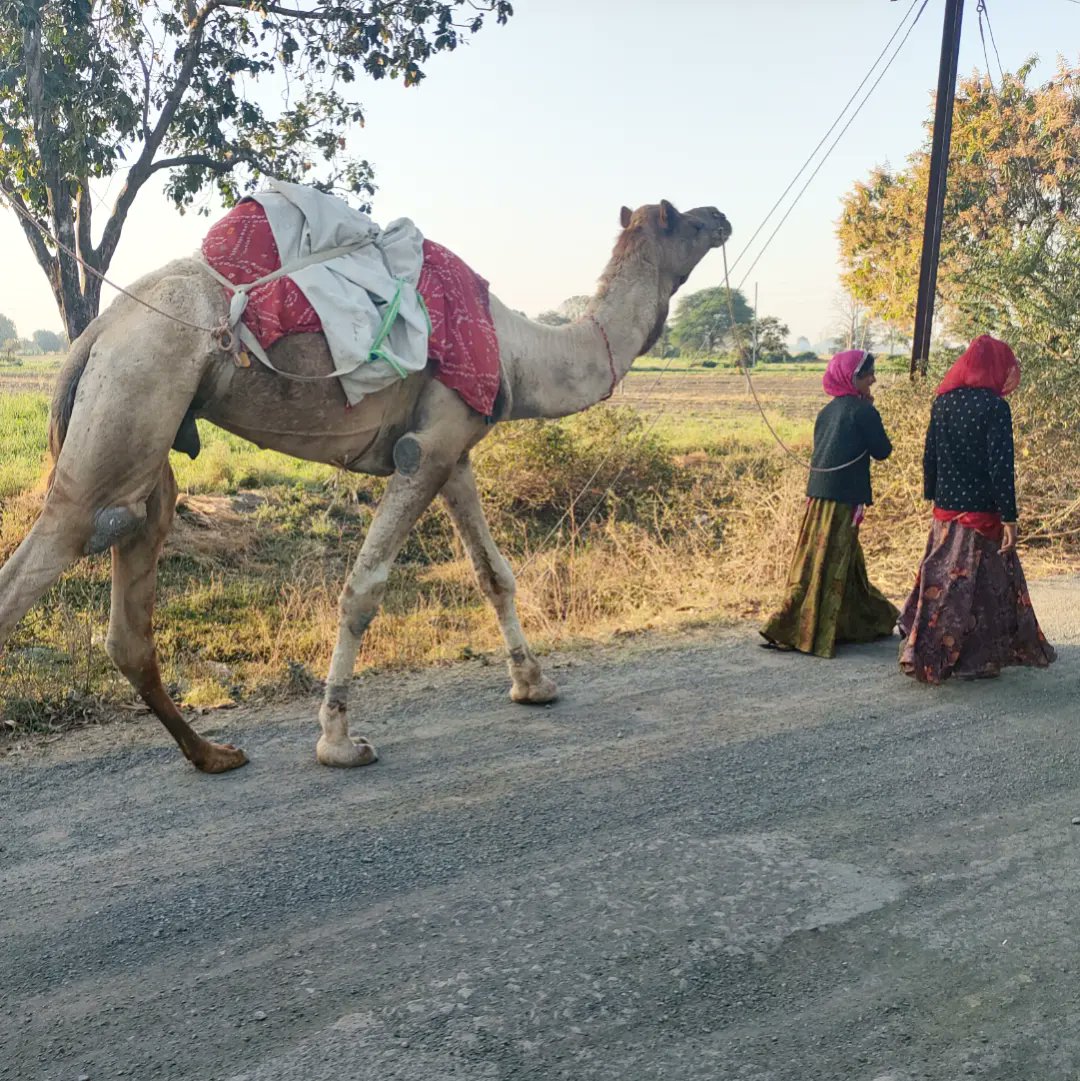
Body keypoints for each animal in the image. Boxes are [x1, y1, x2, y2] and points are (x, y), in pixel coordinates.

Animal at [0, 199, 731, 773]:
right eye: (683, 218)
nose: (722, 216)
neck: (522, 352)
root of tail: (96, 332)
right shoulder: (426, 452)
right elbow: (363, 589)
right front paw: (339, 741)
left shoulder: (452, 447)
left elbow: (493, 574)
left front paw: (534, 684)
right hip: (135, 384)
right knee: (56, 545)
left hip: (147, 435)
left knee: (131, 591)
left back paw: (213, 754)